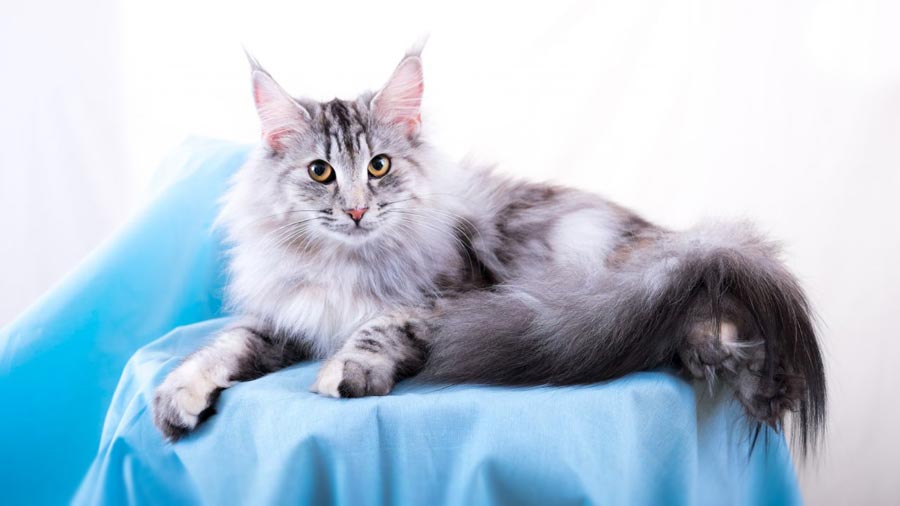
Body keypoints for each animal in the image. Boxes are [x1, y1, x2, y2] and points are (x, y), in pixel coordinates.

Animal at [153, 46, 824, 450]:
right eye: (320, 172)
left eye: (378, 166)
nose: (357, 209)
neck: (347, 264)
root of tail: (671, 241)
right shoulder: (284, 317)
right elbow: (220, 347)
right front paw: (177, 396)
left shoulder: (444, 301)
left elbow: (375, 328)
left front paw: (349, 371)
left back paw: (737, 366)